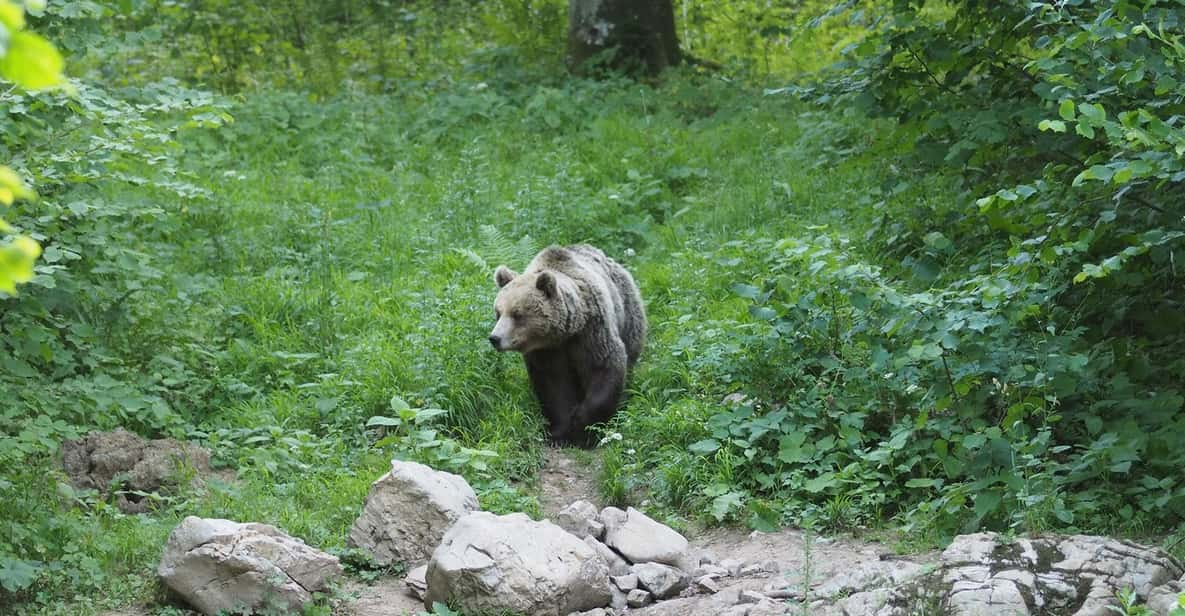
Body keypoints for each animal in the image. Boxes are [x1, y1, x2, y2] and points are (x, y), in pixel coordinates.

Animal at [485, 242, 644, 445]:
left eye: (517, 314)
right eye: (498, 312)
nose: (495, 338)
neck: (564, 334)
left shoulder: (592, 332)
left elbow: (604, 367)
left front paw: (583, 428)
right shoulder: (547, 352)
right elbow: (553, 386)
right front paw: (559, 432)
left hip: (628, 314)